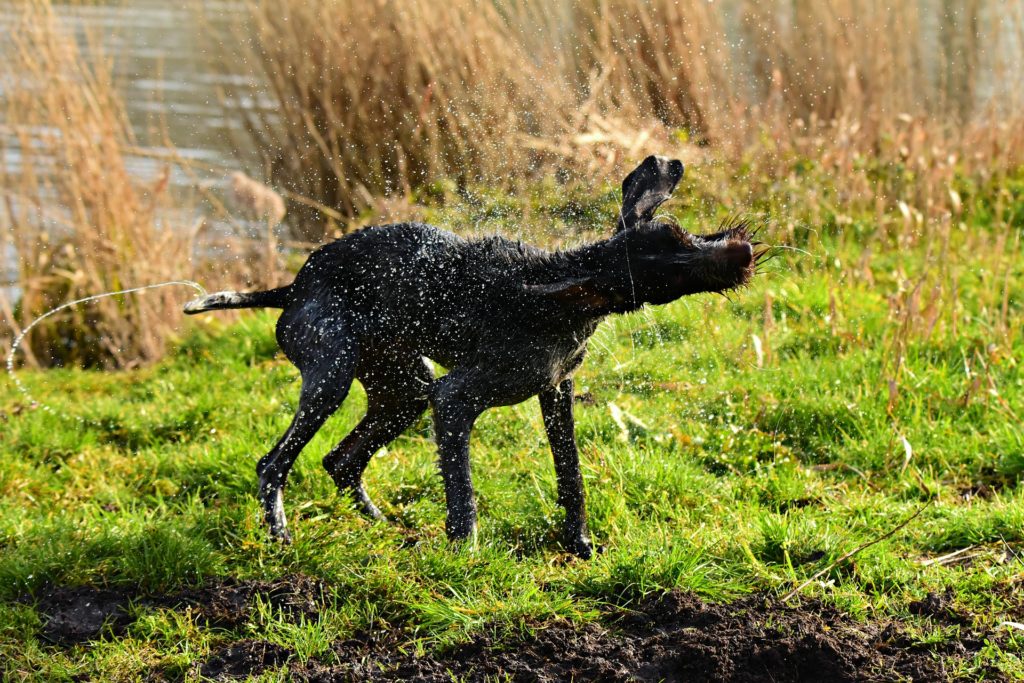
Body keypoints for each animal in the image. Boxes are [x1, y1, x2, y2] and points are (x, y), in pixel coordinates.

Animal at [186, 157, 761, 557]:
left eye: (678, 232)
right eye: (662, 279)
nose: (743, 254)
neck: (553, 296)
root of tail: (292, 285)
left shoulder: (556, 392)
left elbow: (572, 479)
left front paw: (579, 545)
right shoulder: (454, 399)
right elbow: (463, 495)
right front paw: (464, 553)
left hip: (403, 391)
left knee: (340, 459)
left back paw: (383, 525)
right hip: (335, 378)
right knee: (273, 464)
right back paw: (281, 535)